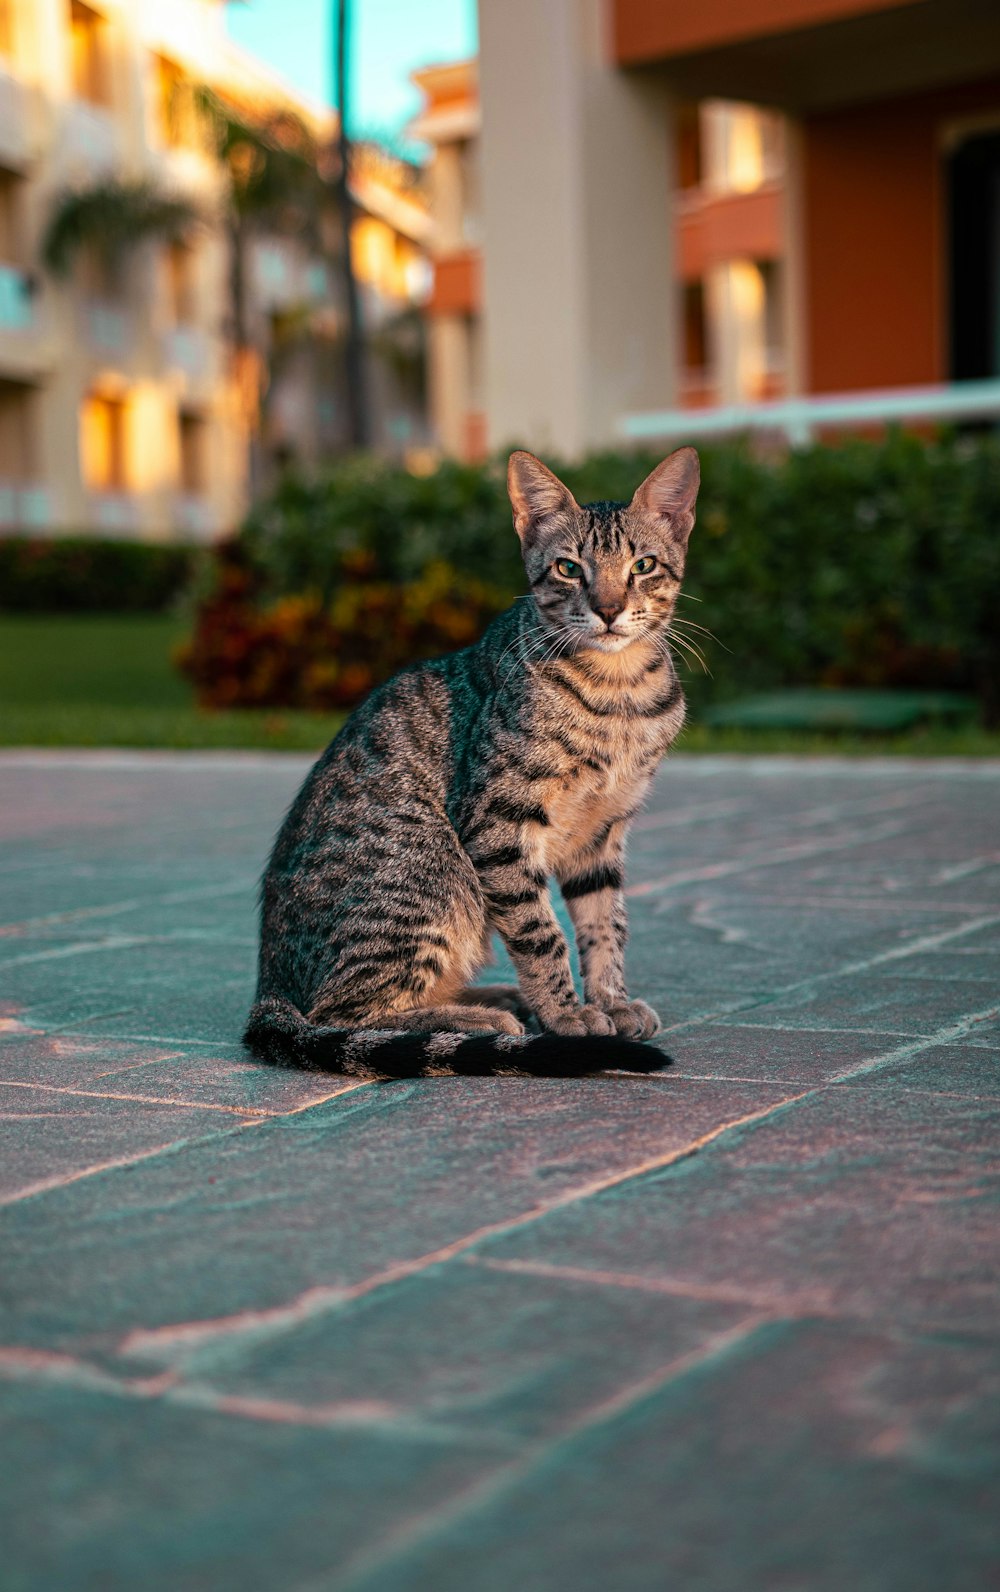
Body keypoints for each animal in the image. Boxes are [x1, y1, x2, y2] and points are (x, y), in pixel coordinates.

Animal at [248, 442, 703, 1076]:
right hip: (435, 871)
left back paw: (492, 998)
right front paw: (568, 1015)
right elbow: (541, 932)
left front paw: (611, 999)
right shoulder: (497, 821)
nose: (609, 610)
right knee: (341, 1013)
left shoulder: (603, 831)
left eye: (643, 566)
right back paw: (480, 1019)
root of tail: (269, 985)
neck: (619, 693)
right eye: (568, 569)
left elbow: (605, 923)